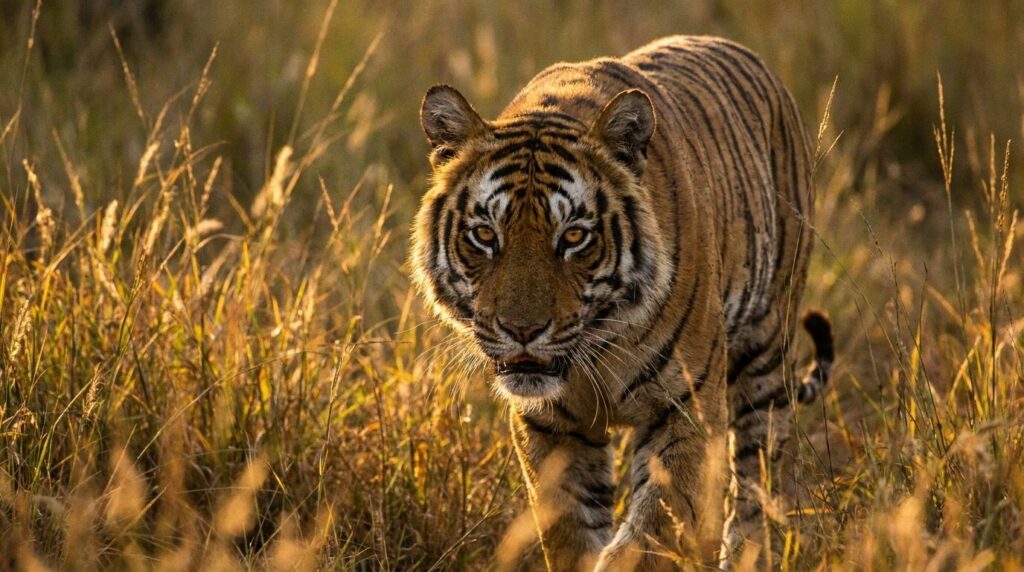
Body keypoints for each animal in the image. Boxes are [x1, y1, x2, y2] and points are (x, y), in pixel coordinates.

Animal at [411, 35, 834, 570]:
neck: (596, 350)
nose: (522, 331)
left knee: (759, 484)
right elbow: (570, 530)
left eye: (574, 237)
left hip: (764, 357)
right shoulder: (549, 426)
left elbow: (650, 536)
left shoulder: (685, 410)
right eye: (485, 235)